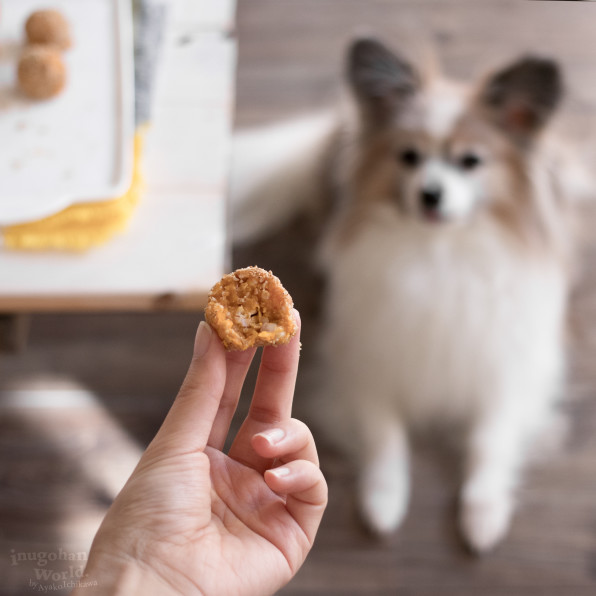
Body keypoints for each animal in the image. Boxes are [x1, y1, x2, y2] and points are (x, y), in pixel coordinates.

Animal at [230, 37, 588, 552]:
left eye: (471, 161)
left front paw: (482, 514)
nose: (430, 194)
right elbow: (386, 435)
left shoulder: (509, 368)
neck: (439, 255)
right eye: (409, 157)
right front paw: (383, 500)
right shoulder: (364, 364)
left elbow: (489, 437)